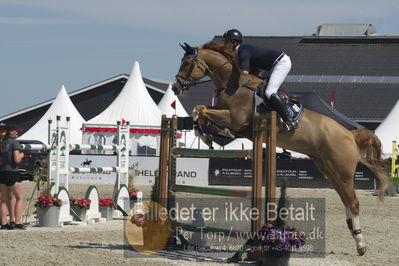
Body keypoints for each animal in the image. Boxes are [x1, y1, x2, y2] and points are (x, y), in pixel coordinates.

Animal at [173, 40, 390, 255]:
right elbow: (203, 111)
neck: (234, 84)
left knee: (353, 203)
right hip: (329, 170)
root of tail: (350, 134)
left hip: (342, 171)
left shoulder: (235, 119)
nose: (176, 87)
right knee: (346, 200)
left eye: (187, 63)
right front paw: (204, 133)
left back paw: (361, 244)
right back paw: (356, 237)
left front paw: (207, 132)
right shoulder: (231, 119)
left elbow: (201, 110)